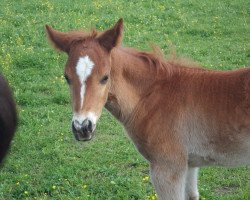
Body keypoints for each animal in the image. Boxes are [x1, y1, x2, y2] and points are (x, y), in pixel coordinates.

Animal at [46, 19, 249, 200]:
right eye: (66, 77)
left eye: (105, 77)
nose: (82, 128)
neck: (153, 97)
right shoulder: (190, 164)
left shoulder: (168, 167)